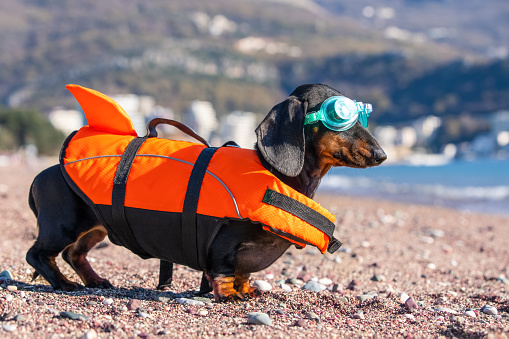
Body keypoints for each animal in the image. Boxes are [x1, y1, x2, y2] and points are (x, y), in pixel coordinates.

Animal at [26, 83, 384, 302]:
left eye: (363, 116)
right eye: (339, 116)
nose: (382, 155)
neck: (276, 174)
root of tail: (44, 173)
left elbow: (243, 273)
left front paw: (246, 290)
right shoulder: (223, 241)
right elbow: (223, 271)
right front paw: (229, 294)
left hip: (96, 226)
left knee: (74, 254)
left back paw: (94, 280)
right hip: (63, 225)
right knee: (38, 254)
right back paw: (63, 283)